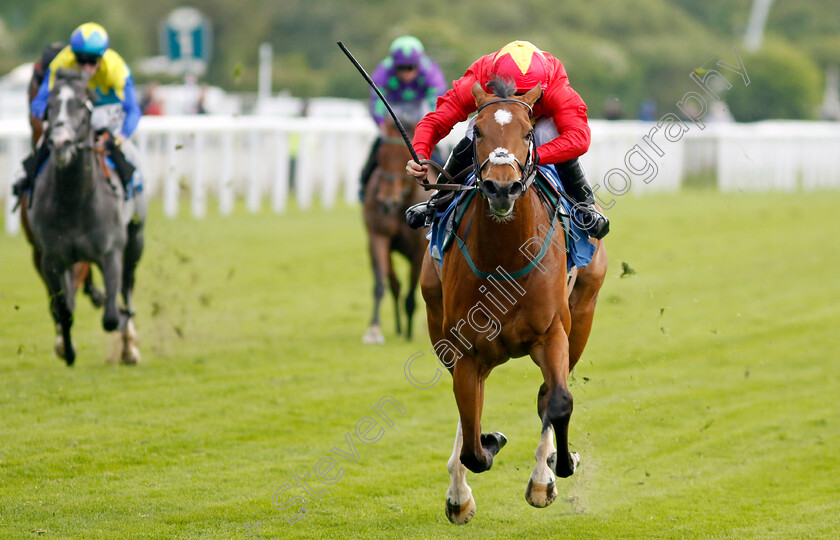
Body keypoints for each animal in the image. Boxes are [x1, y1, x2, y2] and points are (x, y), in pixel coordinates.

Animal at [26, 69, 146, 368]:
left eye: (82, 105)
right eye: (50, 105)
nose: (60, 143)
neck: (74, 201)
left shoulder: (110, 253)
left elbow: (112, 315)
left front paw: (123, 327)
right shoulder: (51, 258)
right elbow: (63, 308)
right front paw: (67, 351)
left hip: (135, 240)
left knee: (126, 287)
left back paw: (129, 346)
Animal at [360, 107, 430, 344]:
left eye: (403, 157)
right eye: (380, 155)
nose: (386, 202)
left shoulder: (420, 250)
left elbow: (412, 289)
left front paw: (408, 333)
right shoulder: (378, 237)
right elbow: (381, 284)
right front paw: (374, 329)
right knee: (394, 285)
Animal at [420, 80, 612, 524]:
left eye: (527, 133)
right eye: (476, 133)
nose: (502, 187)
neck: (504, 256)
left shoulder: (553, 332)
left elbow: (557, 402)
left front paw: (555, 471)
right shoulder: (466, 348)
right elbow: (473, 440)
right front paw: (484, 452)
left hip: (583, 313)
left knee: (547, 394)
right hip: (441, 326)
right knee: (469, 408)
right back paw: (459, 494)